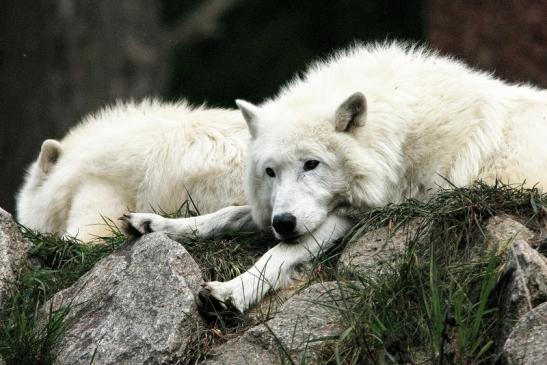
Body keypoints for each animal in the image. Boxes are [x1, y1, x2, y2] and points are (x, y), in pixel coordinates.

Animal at [17, 41, 547, 312]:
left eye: (313, 164)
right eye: (270, 171)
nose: (284, 223)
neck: (398, 132)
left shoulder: (359, 212)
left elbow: (278, 256)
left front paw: (232, 292)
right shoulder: (277, 208)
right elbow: (225, 216)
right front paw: (158, 225)